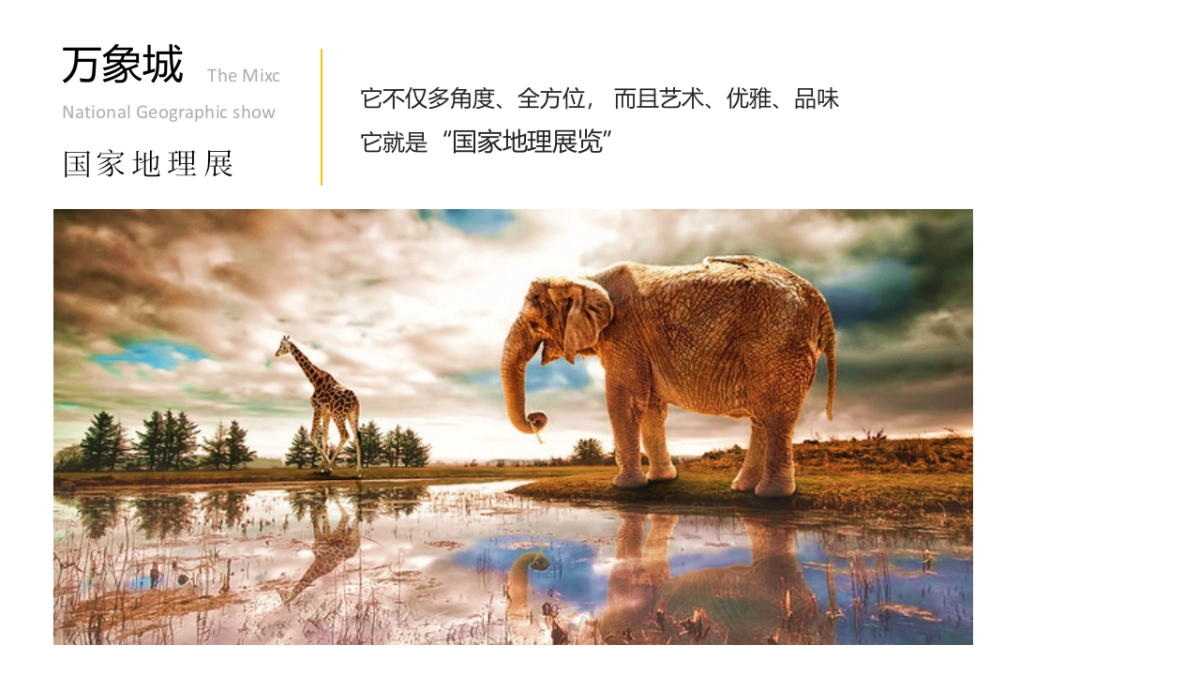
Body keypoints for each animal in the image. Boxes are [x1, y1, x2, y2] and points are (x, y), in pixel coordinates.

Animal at [501, 255, 837, 497]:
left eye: (534, 324)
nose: (537, 418)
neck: (586, 279)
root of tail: (821, 303)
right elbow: (651, 406)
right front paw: (662, 480)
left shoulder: (625, 334)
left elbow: (625, 401)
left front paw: (624, 487)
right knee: (763, 417)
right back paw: (743, 488)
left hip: (778, 344)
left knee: (776, 415)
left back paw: (771, 496)